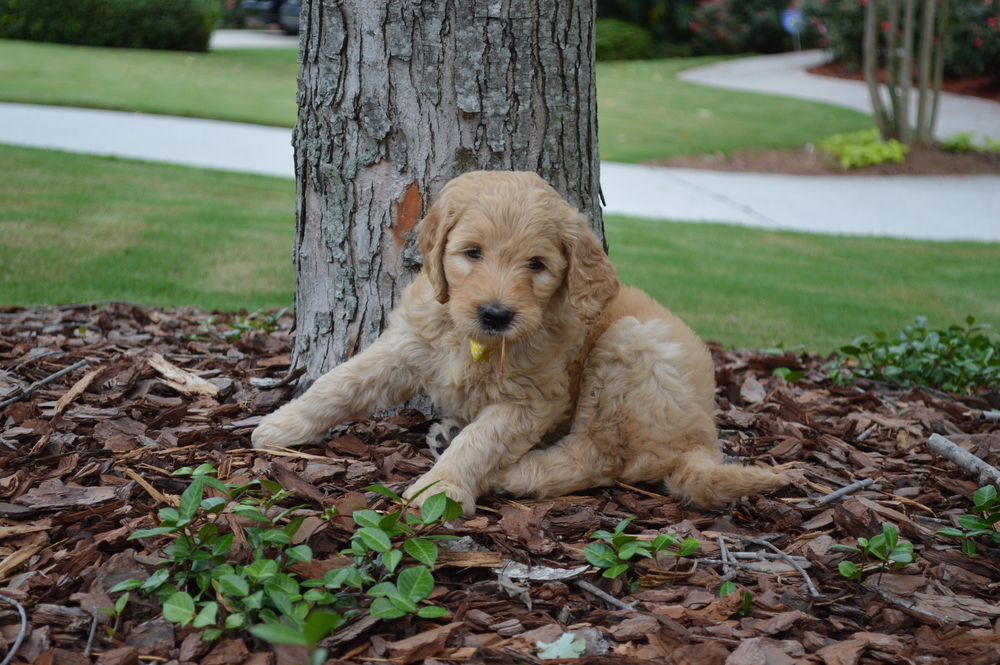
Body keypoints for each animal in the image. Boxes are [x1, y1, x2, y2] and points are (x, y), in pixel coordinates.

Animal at [252, 170, 788, 512]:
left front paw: (443, 487)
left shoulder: (534, 400)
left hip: (632, 345)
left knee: (597, 457)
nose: (496, 313)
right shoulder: (404, 348)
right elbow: (340, 382)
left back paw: (506, 473)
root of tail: (704, 440)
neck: (472, 340)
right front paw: (281, 424)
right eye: (472, 253)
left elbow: (483, 439)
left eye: (537, 265)